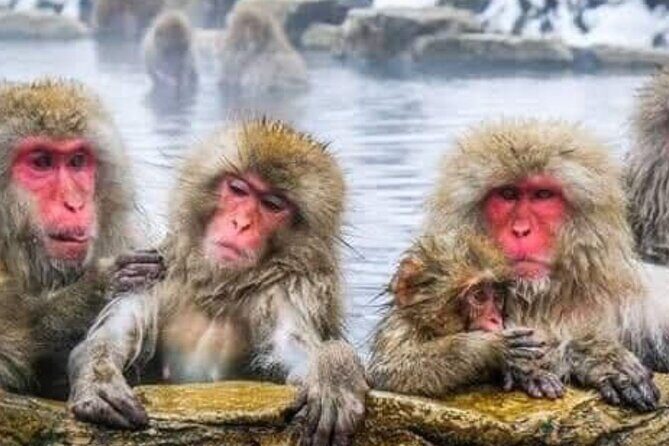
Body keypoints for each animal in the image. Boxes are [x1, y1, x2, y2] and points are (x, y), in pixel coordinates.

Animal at [68, 119, 368, 445]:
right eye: (238, 189)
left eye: (273, 205)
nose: (241, 224)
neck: (217, 289)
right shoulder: (159, 270)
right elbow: (115, 332)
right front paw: (97, 378)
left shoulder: (287, 291)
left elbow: (293, 345)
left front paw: (333, 372)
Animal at [369, 231, 565, 400]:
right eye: (479, 296)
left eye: (497, 297)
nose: (495, 319)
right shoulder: (399, 330)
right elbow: (388, 372)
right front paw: (488, 347)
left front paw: (529, 373)